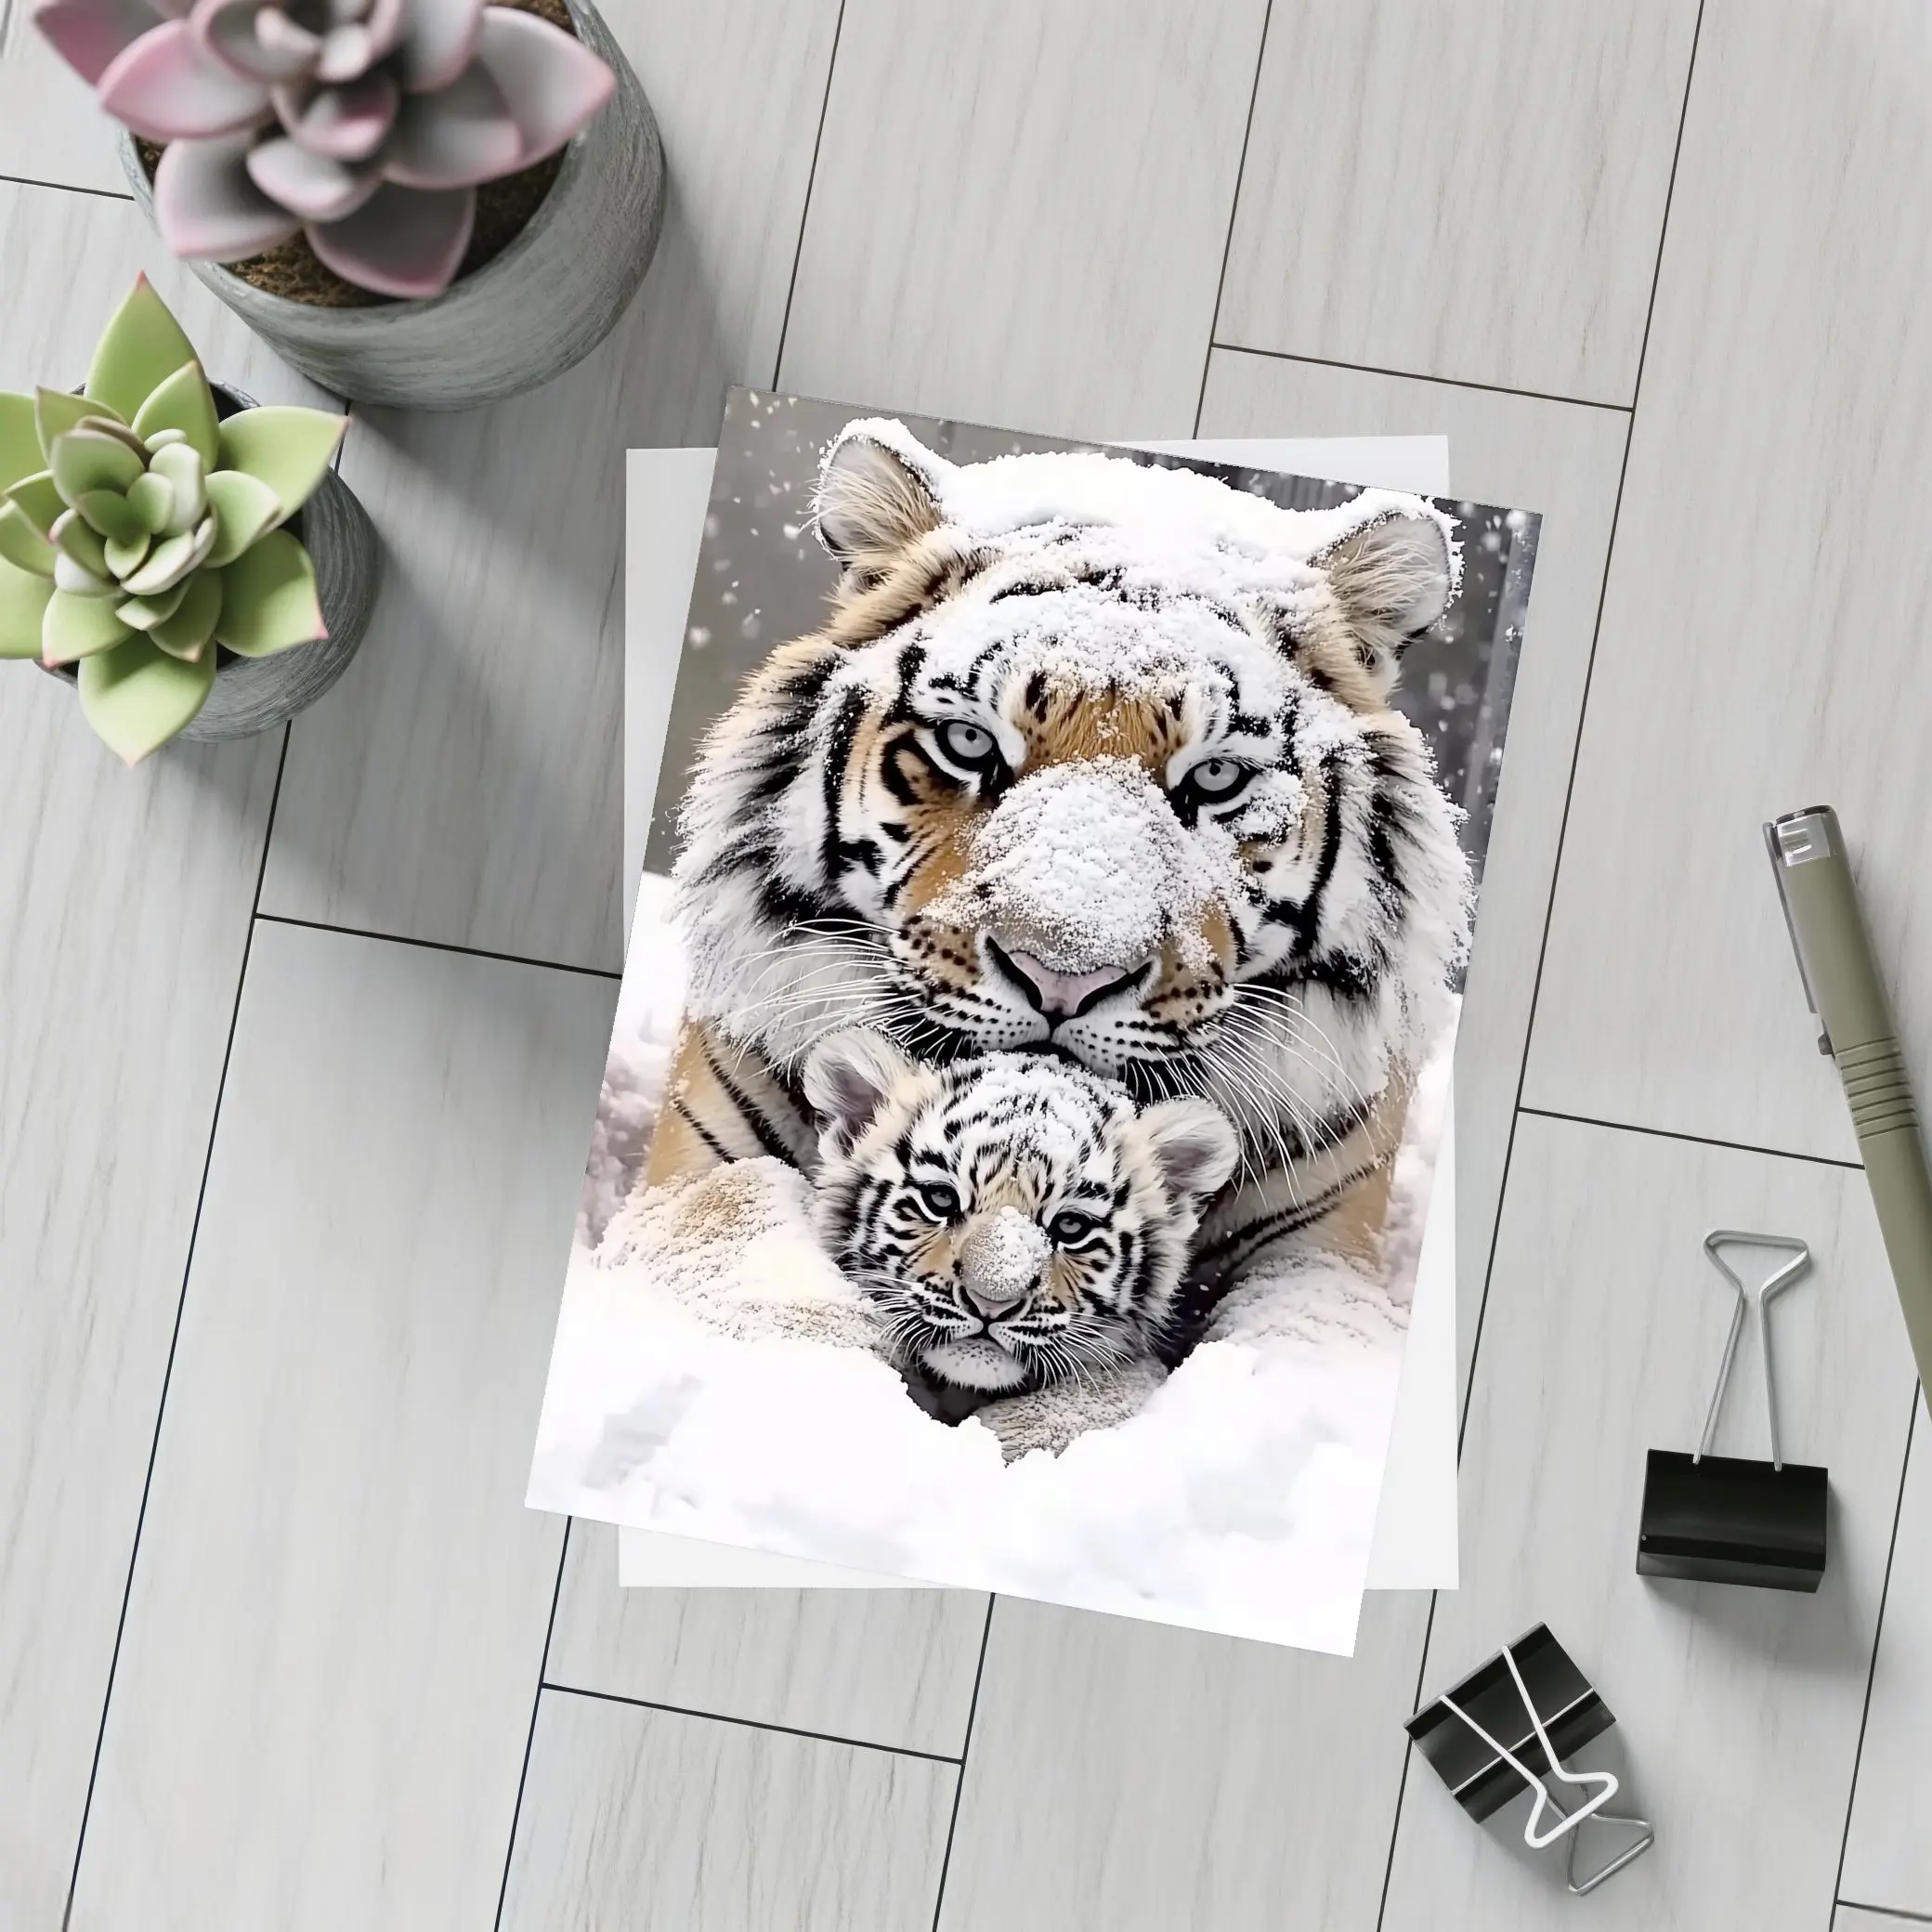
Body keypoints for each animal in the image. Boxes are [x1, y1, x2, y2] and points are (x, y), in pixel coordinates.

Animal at [645, 417, 1471, 1308]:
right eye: (968, 742)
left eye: (1217, 777)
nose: (1063, 980)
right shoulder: (703, 1168)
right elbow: (740, 1249)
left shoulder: (1323, 1247)